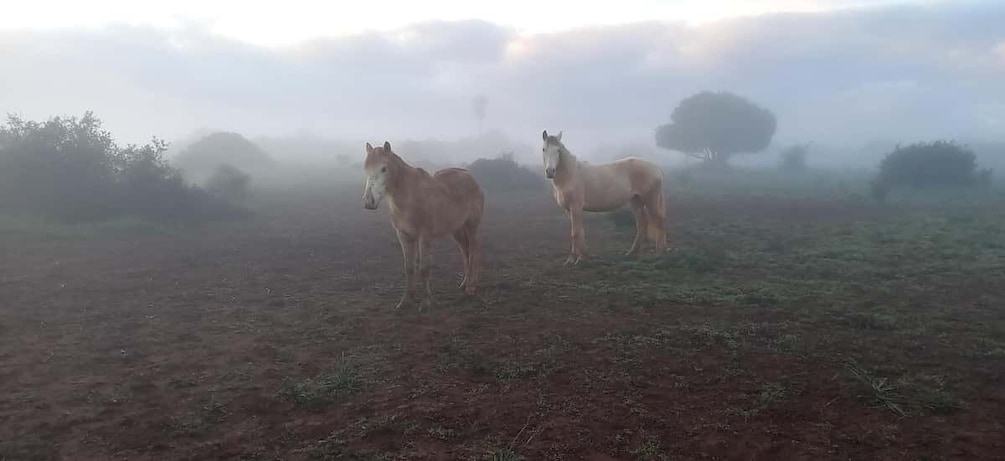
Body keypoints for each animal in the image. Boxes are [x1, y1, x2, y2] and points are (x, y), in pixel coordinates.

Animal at [361, 141, 486, 311]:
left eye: (384, 168)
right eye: (366, 168)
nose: (369, 201)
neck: (409, 197)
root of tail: (472, 179)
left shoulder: (424, 237)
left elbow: (424, 267)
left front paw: (426, 302)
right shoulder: (403, 236)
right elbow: (409, 267)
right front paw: (406, 300)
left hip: (472, 226)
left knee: (473, 251)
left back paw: (471, 288)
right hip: (457, 230)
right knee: (465, 251)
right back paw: (464, 284)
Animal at [542, 131, 667, 265]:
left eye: (558, 150)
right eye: (544, 149)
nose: (550, 171)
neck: (571, 175)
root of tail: (655, 168)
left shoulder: (576, 207)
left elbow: (576, 232)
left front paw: (581, 259)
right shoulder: (568, 210)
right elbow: (574, 232)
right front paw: (571, 259)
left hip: (651, 199)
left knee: (659, 221)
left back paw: (659, 252)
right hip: (635, 201)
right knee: (642, 224)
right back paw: (632, 252)